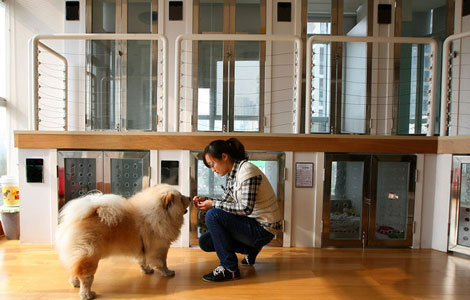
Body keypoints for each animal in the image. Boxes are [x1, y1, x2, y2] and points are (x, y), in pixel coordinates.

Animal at [57, 184, 191, 298]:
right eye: (181, 198)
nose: (189, 197)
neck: (160, 214)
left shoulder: (142, 249)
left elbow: (143, 261)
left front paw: (147, 271)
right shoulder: (160, 248)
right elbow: (162, 263)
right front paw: (168, 273)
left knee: (73, 269)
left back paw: (75, 283)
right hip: (90, 256)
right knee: (86, 278)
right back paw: (87, 294)